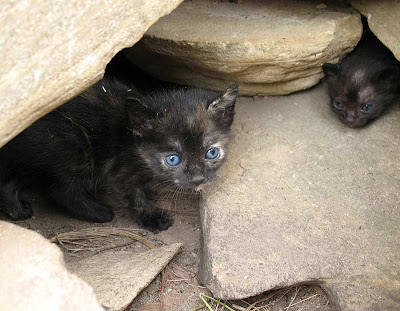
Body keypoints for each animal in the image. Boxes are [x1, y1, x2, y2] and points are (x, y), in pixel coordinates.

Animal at [0, 77, 238, 233]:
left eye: (211, 152)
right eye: (173, 159)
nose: (198, 179)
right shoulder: (118, 171)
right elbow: (134, 196)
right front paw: (152, 218)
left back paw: (17, 210)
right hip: (71, 143)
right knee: (60, 189)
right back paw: (99, 212)